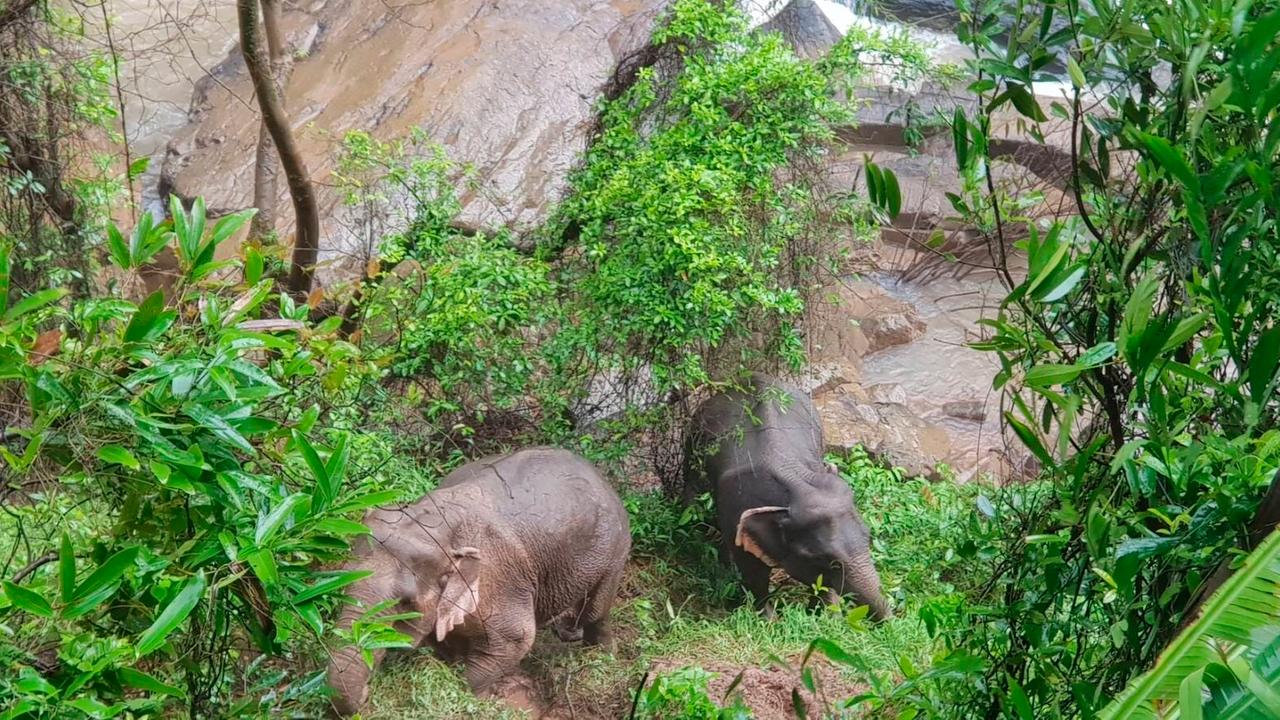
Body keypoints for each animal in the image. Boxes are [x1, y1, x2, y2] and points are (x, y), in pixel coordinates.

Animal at [327, 445, 632, 712]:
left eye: (405, 603)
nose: (367, 693)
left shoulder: (500, 582)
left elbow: (516, 639)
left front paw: (480, 695)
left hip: (615, 549)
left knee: (596, 610)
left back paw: (601, 653)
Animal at [680, 371, 890, 620]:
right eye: (827, 560)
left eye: (868, 538)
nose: (889, 621)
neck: (795, 483)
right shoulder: (735, 509)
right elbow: (752, 572)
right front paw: (768, 620)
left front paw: (825, 615)